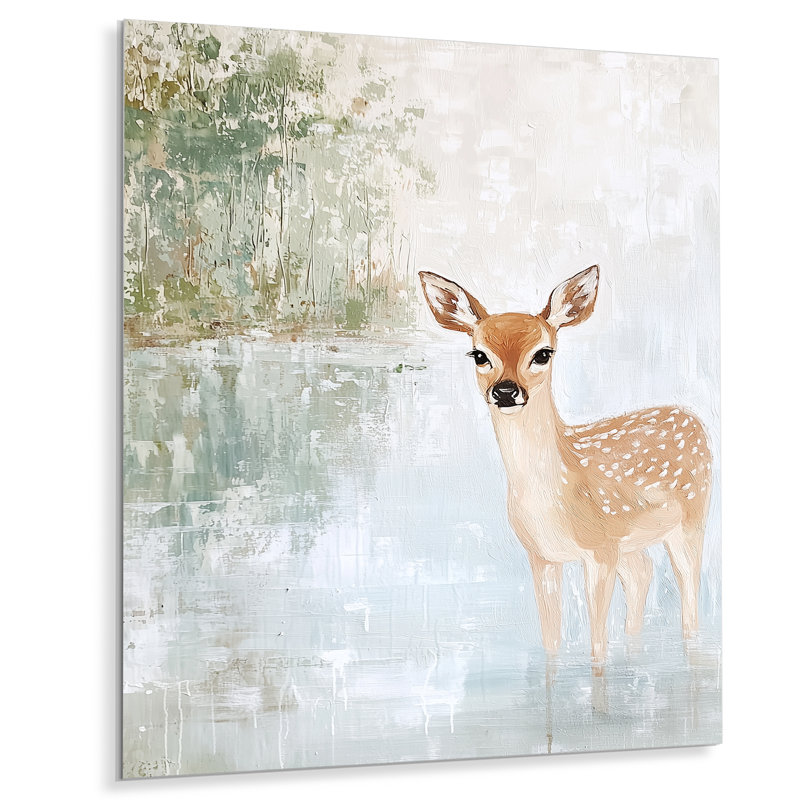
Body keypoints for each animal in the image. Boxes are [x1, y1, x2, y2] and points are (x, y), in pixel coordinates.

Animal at [419, 266, 712, 675]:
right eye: (479, 354)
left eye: (543, 353)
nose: (506, 391)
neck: (553, 494)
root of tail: (692, 416)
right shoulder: (542, 555)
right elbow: (551, 642)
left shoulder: (599, 549)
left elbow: (597, 649)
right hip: (631, 541)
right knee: (642, 574)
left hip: (691, 518)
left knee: (689, 593)